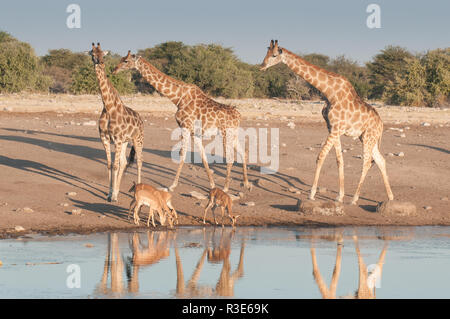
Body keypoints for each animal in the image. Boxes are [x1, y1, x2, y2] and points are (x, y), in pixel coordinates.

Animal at [88, 42, 144, 202]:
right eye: (92, 54)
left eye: (103, 54)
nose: (100, 62)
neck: (108, 107)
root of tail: (141, 119)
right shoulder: (105, 138)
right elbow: (110, 164)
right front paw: (110, 194)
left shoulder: (117, 139)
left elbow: (115, 166)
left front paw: (113, 196)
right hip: (125, 141)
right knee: (124, 162)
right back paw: (117, 191)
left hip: (138, 139)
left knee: (139, 162)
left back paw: (138, 189)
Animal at [112, 51, 251, 194]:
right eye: (122, 59)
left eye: (126, 61)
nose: (114, 70)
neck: (177, 98)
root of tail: (239, 116)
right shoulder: (195, 132)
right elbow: (203, 157)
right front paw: (212, 185)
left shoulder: (185, 126)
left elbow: (182, 154)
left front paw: (172, 186)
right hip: (233, 134)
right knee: (242, 152)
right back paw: (246, 184)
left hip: (225, 133)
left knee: (231, 157)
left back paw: (226, 187)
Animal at [260, 40, 394, 205]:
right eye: (266, 52)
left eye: (274, 55)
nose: (261, 66)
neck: (329, 93)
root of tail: (381, 125)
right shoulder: (332, 128)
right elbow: (339, 160)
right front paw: (339, 196)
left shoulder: (336, 129)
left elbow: (321, 156)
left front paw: (311, 194)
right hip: (367, 138)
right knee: (380, 160)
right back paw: (390, 197)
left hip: (369, 137)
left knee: (367, 162)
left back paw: (355, 199)